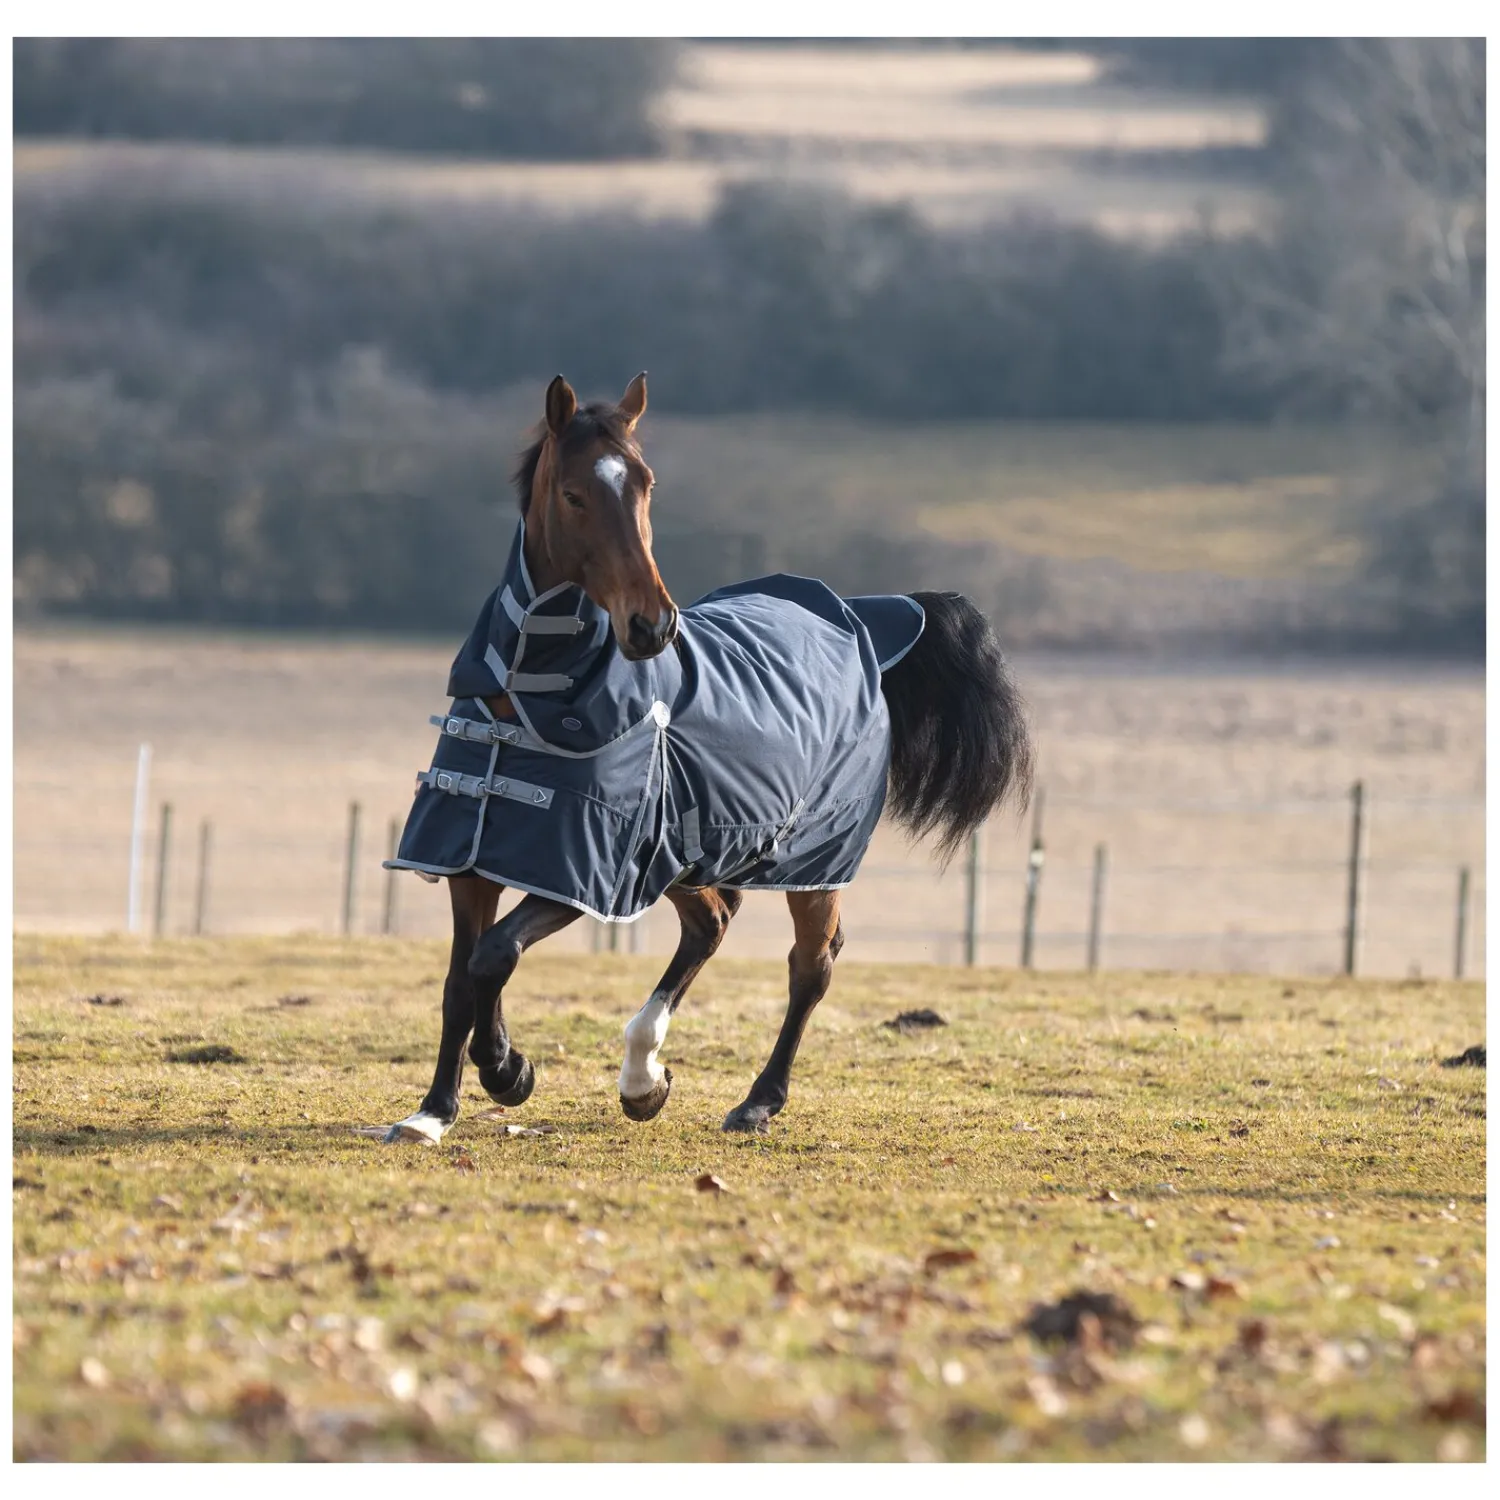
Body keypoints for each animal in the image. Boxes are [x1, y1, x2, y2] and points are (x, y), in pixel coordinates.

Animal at [379, 372, 1033, 1142]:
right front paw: (434, 1110)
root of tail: (862, 619)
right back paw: (644, 1080)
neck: (529, 694)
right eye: (573, 494)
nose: (652, 624)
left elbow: (495, 955)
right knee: (713, 924)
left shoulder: (591, 872)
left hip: (810, 861)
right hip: (688, 853)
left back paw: (755, 1100)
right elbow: (463, 978)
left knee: (810, 967)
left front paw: (508, 1071)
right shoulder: (474, 856)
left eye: (646, 485)